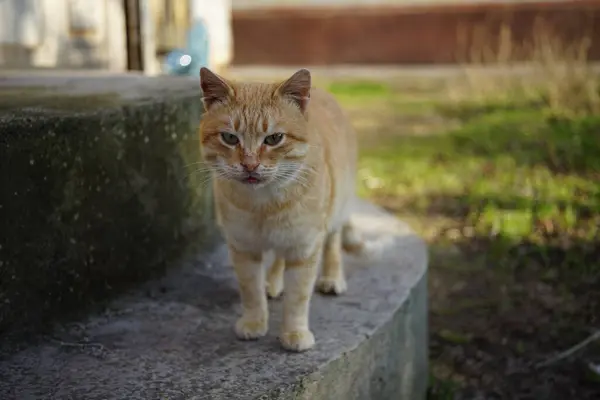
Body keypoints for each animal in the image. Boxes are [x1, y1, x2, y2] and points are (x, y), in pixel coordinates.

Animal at [199, 67, 364, 352]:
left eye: (274, 138)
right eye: (230, 138)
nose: (250, 165)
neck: (264, 205)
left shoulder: (304, 246)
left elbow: (298, 297)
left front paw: (294, 333)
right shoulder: (243, 247)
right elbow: (251, 291)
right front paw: (254, 322)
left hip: (336, 211)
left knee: (333, 242)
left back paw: (332, 277)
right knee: (277, 257)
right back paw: (273, 282)